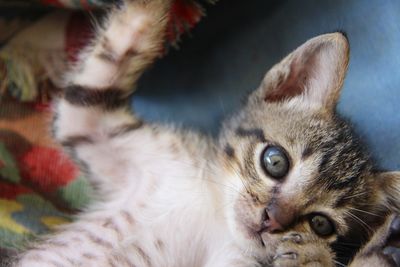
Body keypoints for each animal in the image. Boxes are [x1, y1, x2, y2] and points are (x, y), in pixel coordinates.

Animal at [12, 0, 400, 267]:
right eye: (275, 161)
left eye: (321, 224)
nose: (271, 220)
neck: (216, 213)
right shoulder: (91, 126)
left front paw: (312, 255)